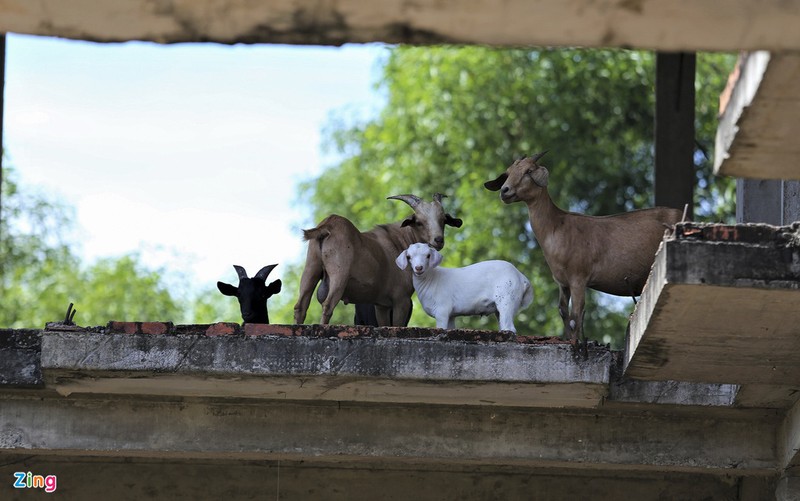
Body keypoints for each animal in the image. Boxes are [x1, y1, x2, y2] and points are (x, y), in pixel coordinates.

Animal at [292, 193, 462, 326]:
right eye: (419, 222)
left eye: (443, 220)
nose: (438, 240)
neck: (401, 241)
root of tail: (327, 226)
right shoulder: (401, 299)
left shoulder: (381, 305)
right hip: (339, 274)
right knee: (327, 305)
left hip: (311, 268)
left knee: (300, 307)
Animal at [482, 150, 680, 342]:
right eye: (508, 173)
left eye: (528, 171)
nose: (505, 191)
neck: (556, 227)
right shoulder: (562, 282)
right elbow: (563, 311)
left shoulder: (578, 277)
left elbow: (576, 316)